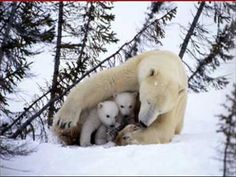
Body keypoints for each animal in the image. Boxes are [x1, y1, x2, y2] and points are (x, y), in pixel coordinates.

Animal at [53, 50, 188, 145]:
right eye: (148, 101)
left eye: (160, 110)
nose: (143, 123)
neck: (167, 60)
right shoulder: (135, 70)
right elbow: (106, 82)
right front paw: (64, 120)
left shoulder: (175, 104)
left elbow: (163, 127)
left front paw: (128, 136)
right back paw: (66, 133)